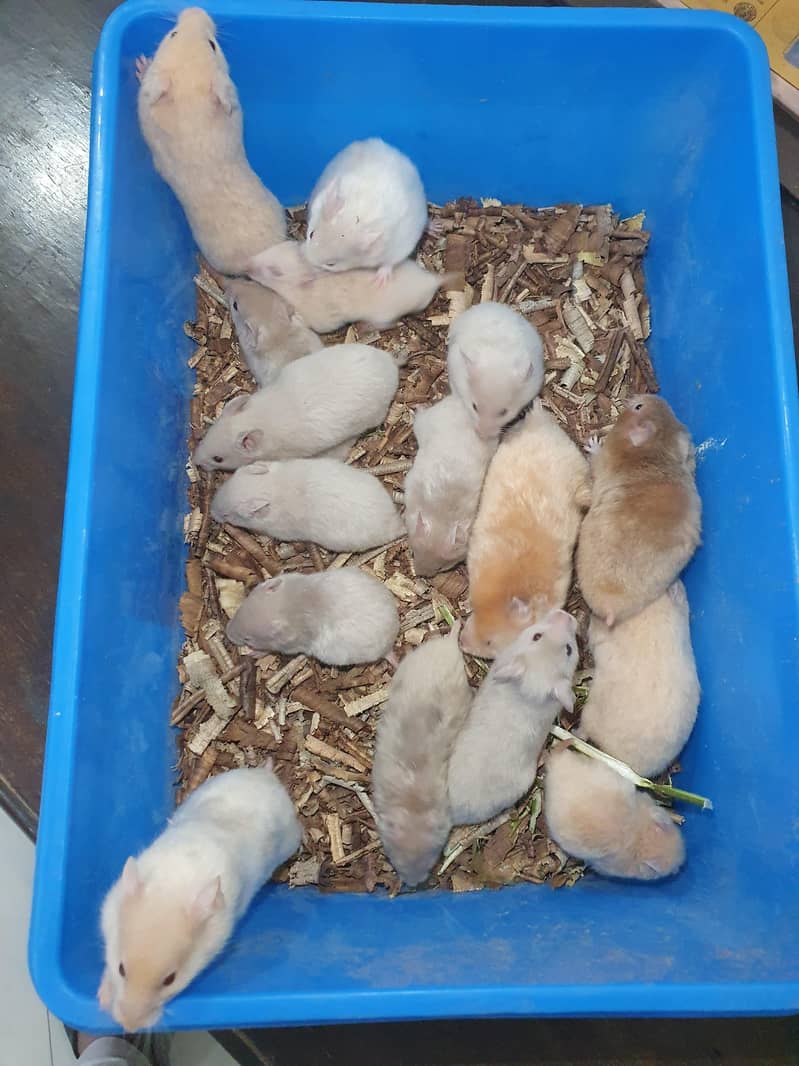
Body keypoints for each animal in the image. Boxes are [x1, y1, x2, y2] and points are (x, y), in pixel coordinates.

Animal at [97, 765, 301, 1032]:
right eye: (121, 969)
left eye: (170, 979)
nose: (127, 1026)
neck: (171, 889)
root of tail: (266, 775)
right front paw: (102, 999)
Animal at [137, 9, 286, 275]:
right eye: (174, 34)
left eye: (212, 44)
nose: (195, 8)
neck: (189, 106)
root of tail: (255, 260)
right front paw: (142, 63)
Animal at [226, 570, 399, 665]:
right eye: (240, 608)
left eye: (248, 638)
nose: (227, 634)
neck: (290, 605)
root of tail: (389, 647)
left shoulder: (291, 646)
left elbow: (269, 650)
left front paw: (253, 653)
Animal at [304, 138, 428, 281]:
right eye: (311, 234)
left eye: (331, 264)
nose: (307, 261)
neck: (357, 217)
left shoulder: (398, 248)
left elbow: (388, 263)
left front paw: (378, 281)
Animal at [577, 394, 702, 626]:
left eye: (638, 407)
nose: (640, 396)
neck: (657, 449)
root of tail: (611, 609)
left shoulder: (603, 460)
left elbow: (596, 455)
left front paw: (592, 443)